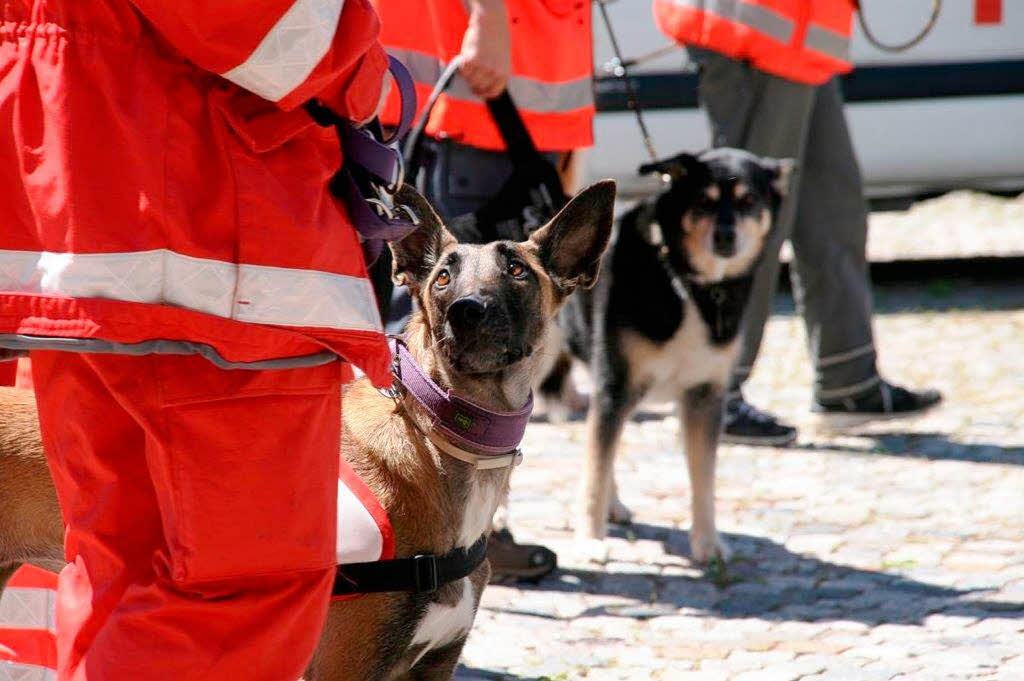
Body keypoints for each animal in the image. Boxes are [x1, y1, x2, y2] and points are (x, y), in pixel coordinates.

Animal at [561, 150, 790, 561]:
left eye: (749, 200)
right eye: (703, 200)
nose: (726, 236)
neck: (687, 281)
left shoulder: (705, 395)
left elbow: (703, 476)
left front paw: (707, 542)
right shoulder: (615, 385)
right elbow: (595, 470)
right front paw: (589, 538)